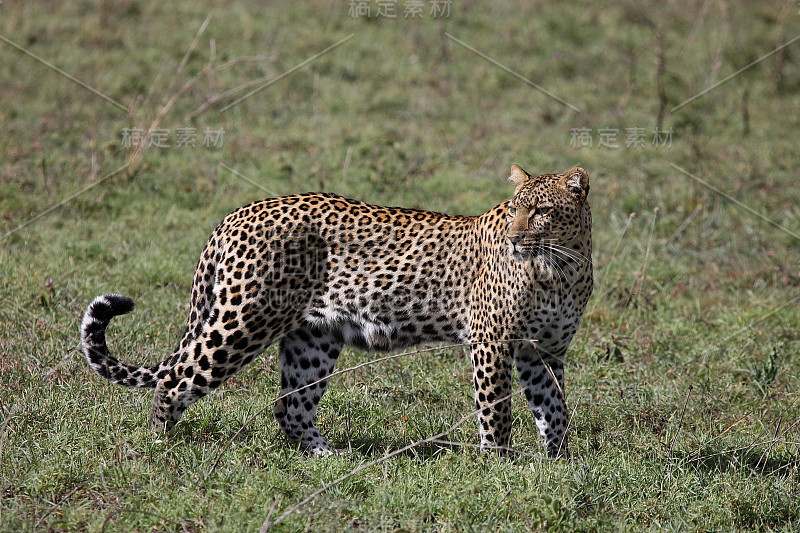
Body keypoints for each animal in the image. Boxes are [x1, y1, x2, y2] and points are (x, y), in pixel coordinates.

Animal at [81, 163, 592, 458]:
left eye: (541, 211)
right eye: (515, 209)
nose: (515, 239)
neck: (561, 266)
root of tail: (235, 214)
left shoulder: (543, 352)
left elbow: (554, 406)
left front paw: (559, 464)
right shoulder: (493, 341)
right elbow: (496, 410)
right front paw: (498, 467)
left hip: (312, 339)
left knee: (290, 407)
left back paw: (330, 459)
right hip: (243, 321)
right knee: (174, 379)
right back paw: (157, 449)